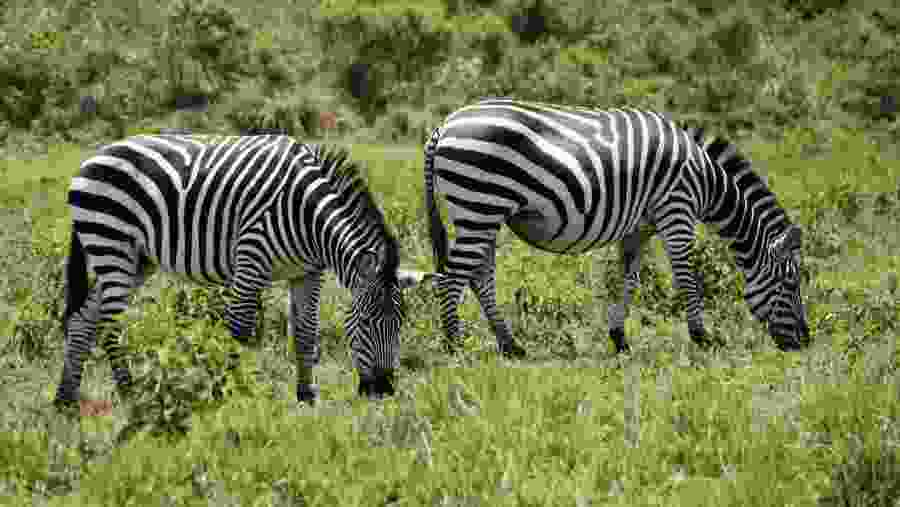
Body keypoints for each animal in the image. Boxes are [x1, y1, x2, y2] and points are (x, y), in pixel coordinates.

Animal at [55, 133, 421, 412]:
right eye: (367, 321)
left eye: (401, 323)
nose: (384, 391)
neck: (309, 214)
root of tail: (92, 158)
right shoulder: (251, 258)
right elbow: (240, 331)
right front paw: (228, 394)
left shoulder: (307, 272)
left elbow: (306, 332)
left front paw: (306, 395)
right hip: (111, 242)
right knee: (110, 326)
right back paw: (129, 393)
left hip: (134, 258)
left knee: (84, 318)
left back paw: (66, 399)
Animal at [423, 98, 810, 357]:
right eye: (790, 283)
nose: (805, 342)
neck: (707, 179)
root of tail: (445, 125)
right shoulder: (677, 210)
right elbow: (687, 277)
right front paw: (702, 336)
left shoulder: (640, 227)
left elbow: (630, 278)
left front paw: (619, 337)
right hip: (480, 204)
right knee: (455, 274)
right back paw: (454, 344)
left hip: (485, 213)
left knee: (480, 276)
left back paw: (511, 345)